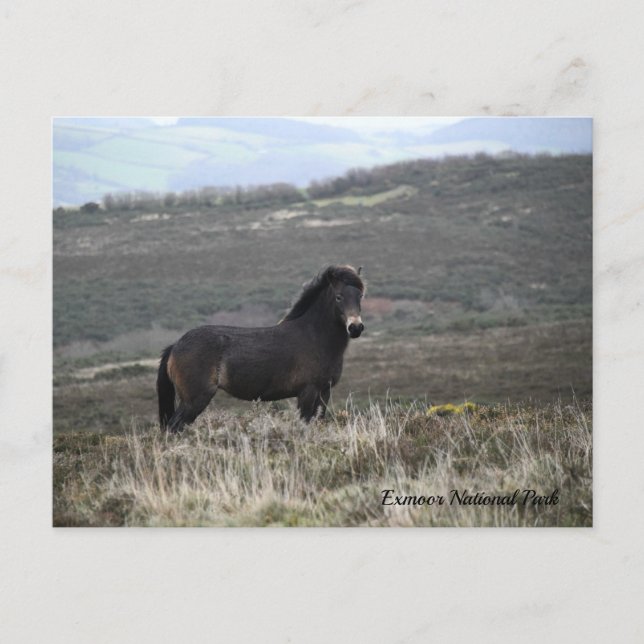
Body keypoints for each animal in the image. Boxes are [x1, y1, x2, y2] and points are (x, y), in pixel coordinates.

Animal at [157, 265, 366, 433]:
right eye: (339, 297)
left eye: (360, 296)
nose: (355, 327)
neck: (314, 336)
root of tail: (175, 346)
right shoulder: (307, 392)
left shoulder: (324, 392)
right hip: (194, 400)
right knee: (173, 427)